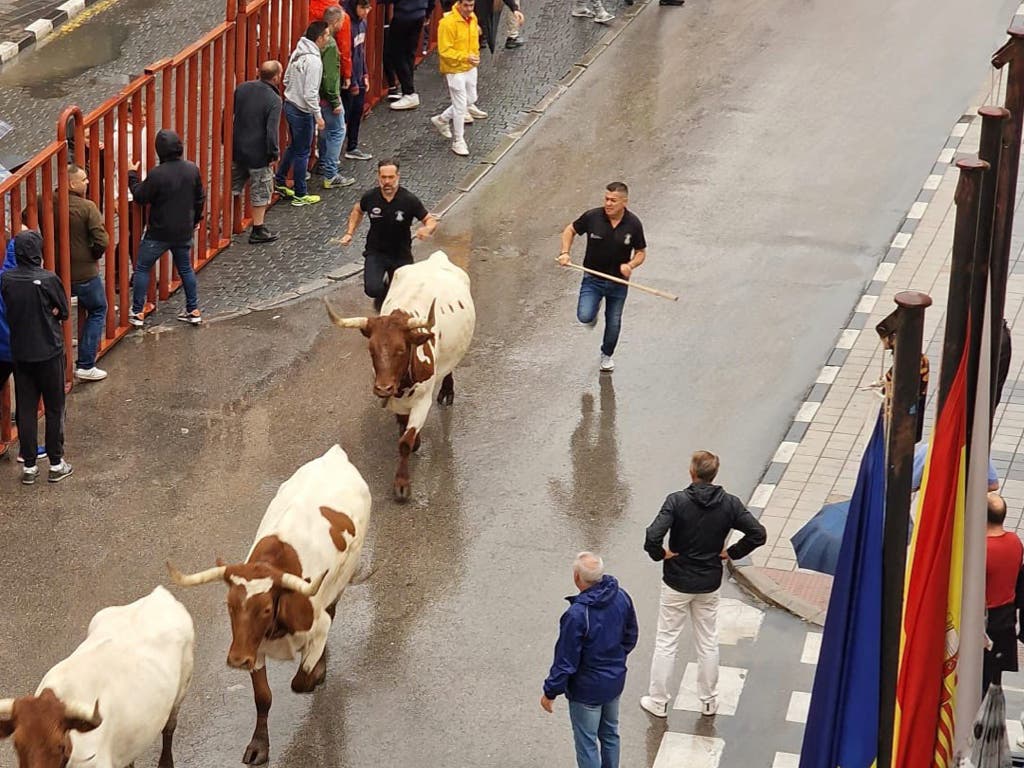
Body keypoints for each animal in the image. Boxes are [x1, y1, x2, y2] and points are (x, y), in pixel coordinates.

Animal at [167, 448, 372, 765]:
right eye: (229, 605)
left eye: (265, 609)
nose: (236, 660)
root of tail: (336, 454)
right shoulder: (253, 647)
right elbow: (263, 698)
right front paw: (259, 745)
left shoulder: (316, 624)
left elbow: (300, 680)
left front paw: (314, 674)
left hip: (340, 582)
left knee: (332, 610)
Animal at [323, 249, 475, 501]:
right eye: (371, 350)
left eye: (401, 350)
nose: (382, 388)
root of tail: (436, 257)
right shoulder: (396, 401)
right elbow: (404, 429)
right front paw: (415, 441)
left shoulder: (422, 401)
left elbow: (404, 442)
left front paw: (402, 484)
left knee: (449, 368)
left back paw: (447, 391)